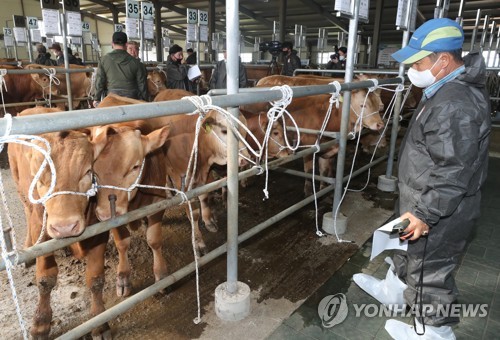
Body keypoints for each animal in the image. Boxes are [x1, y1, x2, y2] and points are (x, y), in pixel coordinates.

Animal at [6, 107, 109, 338]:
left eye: (88, 172)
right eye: (40, 178)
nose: (64, 227)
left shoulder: (99, 230)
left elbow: (96, 278)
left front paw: (99, 321)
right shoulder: (43, 230)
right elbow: (45, 280)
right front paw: (41, 324)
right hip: (21, 192)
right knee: (26, 211)